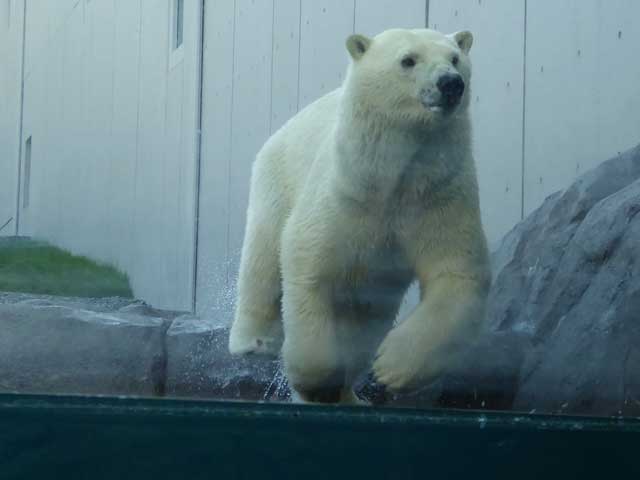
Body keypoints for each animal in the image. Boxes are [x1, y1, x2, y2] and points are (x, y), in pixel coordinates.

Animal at [229, 28, 490, 404]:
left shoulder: (438, 194)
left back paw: (352, 393)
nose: (451, 83)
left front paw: (390, 367)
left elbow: (457, 272)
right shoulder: (345, 192)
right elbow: (308, 261)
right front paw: (316, 384)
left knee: (365, 318)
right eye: (408, 60)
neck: (391, 177)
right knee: (263, 253)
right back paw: (254, 341)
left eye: (455, 58)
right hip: (276, 177)